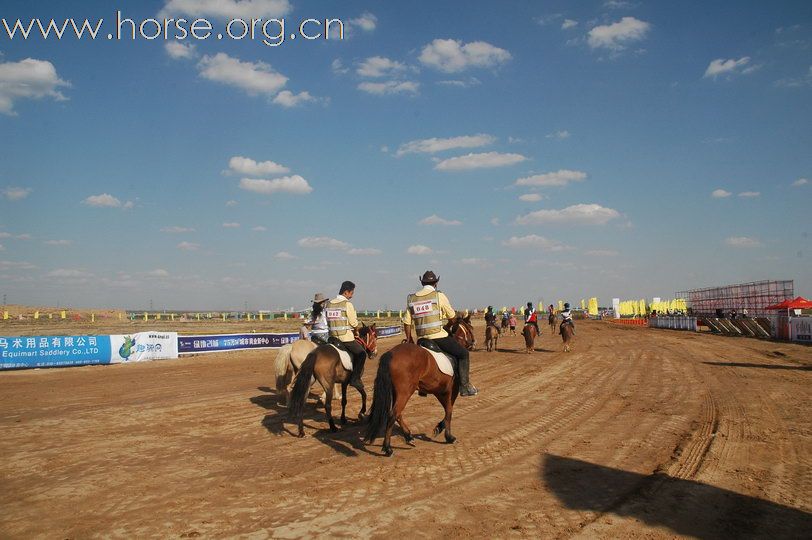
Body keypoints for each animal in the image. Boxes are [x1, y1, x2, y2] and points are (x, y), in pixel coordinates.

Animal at [366, 314, 476, 458]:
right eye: (470, 329)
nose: (473, 343)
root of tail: (391, 354)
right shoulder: (451, 390)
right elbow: (449, 410)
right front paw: (449, 436)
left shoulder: (439, 391)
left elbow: (447, 410)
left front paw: (439, 428)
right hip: (405, 392)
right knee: (392, 414)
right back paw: (388, 448)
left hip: (397, 392)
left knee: (398, 414)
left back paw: (408, 436)